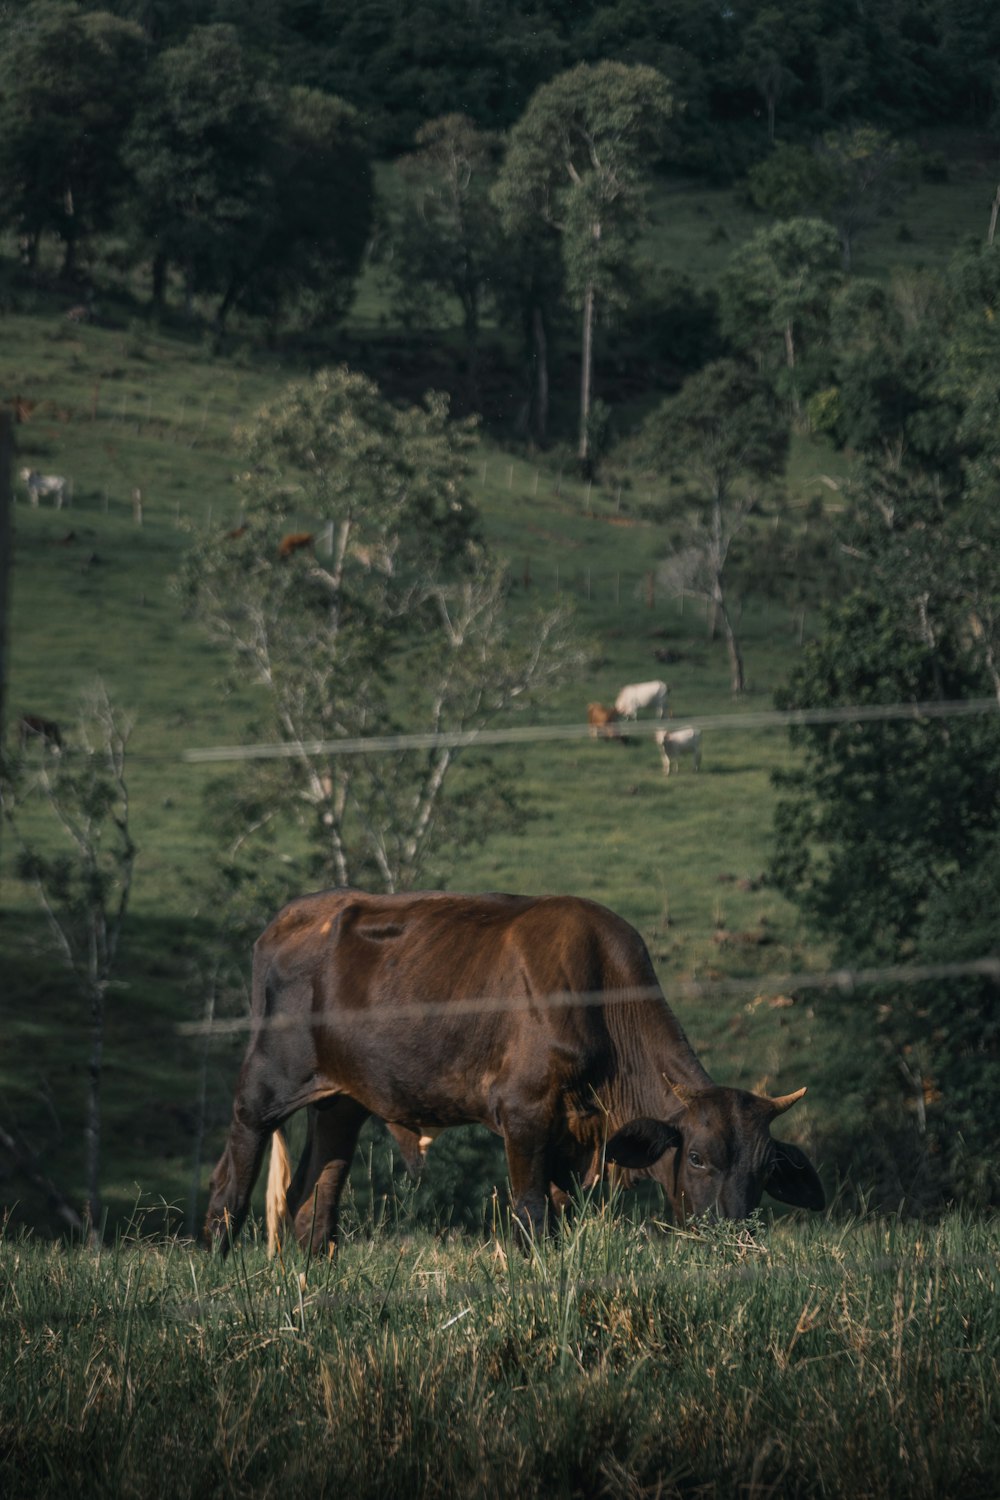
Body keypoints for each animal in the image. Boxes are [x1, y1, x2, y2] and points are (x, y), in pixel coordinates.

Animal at [200, 882, 821, 1260]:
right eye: (696, 1157)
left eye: (765, 1169)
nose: (736, 1243)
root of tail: (294, 914)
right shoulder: (524, 1112)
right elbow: (532, 1216)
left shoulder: (573, 1136)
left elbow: (561, 1214)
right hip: (265, 1083)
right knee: (233, 1178)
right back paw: (217, 1264)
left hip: (341, 1099)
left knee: (314, 1198)